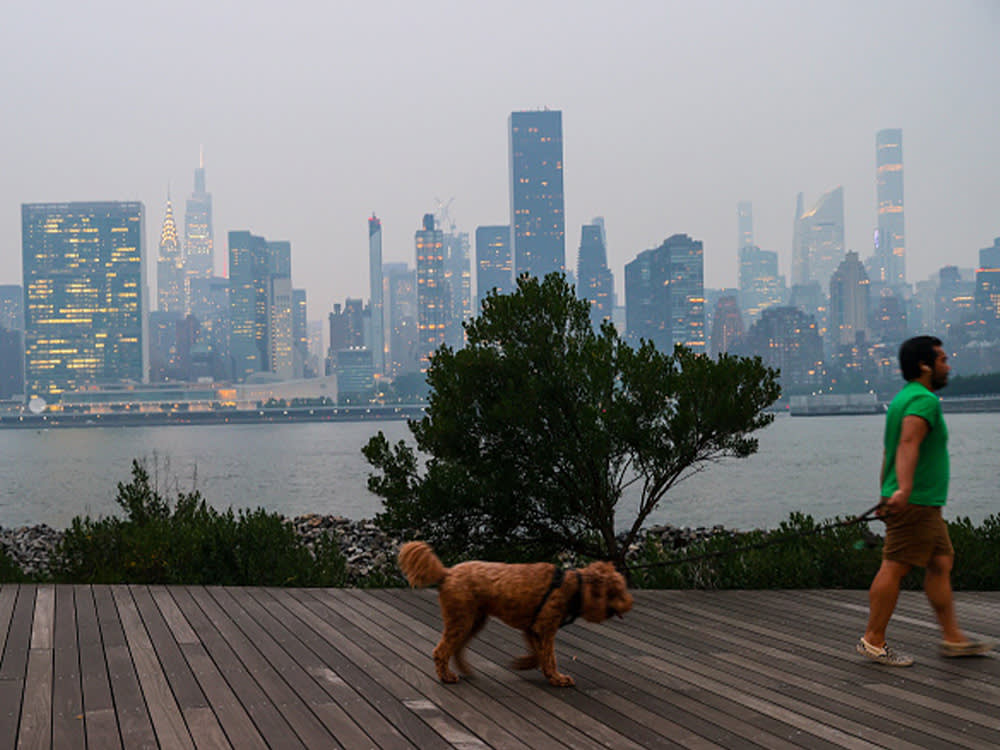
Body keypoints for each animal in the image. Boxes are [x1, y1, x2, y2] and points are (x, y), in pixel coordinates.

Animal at [398, 540, 632, 688]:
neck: (573, 586)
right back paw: (446, 676)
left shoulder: (532, 629)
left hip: (473, 620)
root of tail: (446, 573)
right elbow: (549, 657)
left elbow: (539, 655)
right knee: (442, 651)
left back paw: (463, 670)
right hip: (461, 619)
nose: (630, 604)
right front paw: (558, 678)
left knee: (456, 649)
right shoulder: (544, 628)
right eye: (618, 591)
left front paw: (524, 663)